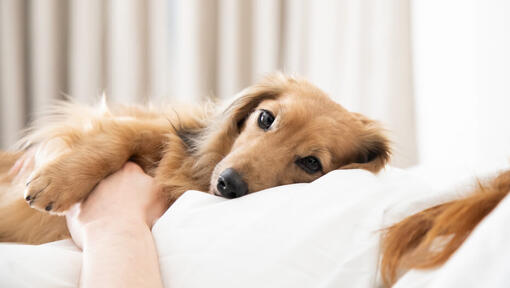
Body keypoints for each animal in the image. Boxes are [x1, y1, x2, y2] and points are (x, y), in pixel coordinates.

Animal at [0, 73, 390, 243]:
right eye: (266, 118)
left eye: (311, 163)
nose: (229, 184)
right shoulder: (153, 129)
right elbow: (122, 134)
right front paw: (59, 181)